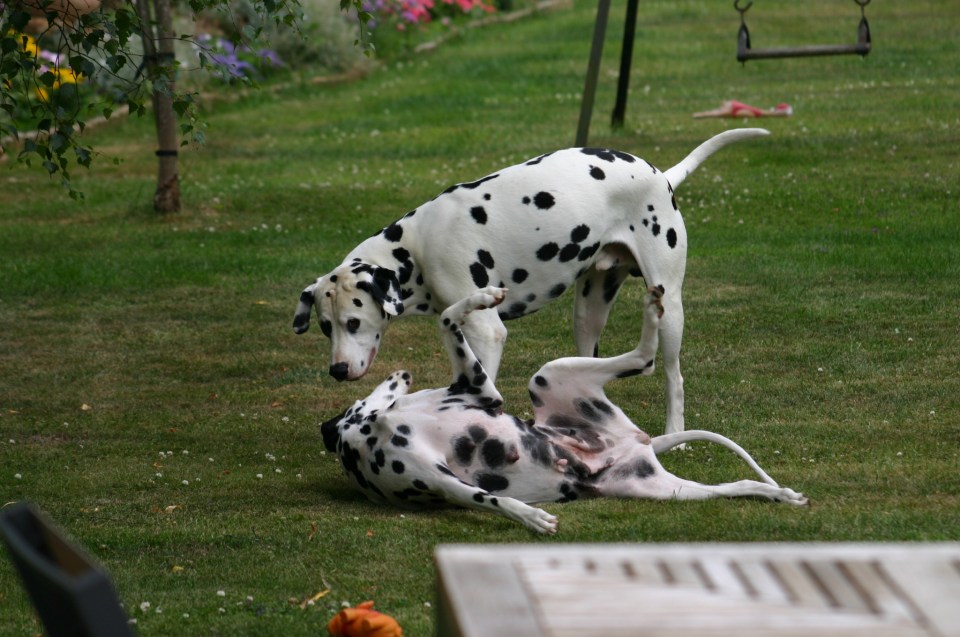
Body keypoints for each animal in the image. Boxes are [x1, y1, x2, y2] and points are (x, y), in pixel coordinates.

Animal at [296, 128, 770, 436]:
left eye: (354, 322)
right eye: (325, 326)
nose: (337, 370)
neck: (416, 247)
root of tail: (661, 174)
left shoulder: (486, 332)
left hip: (669, 309)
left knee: (673, 377)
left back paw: (675, 433)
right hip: (588, 312)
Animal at [320, 286, 807, 534]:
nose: (401, 373)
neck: (366, 429)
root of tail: (637, 443)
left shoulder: (481, 389)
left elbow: (446, 317)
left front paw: (482, 296)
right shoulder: (436, 478)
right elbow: (487, 497)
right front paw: (530, 516)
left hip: (548, 374)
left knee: (646, 357)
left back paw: (653, 312)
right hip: (662, 490)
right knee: (737, 480)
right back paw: (775, 493)